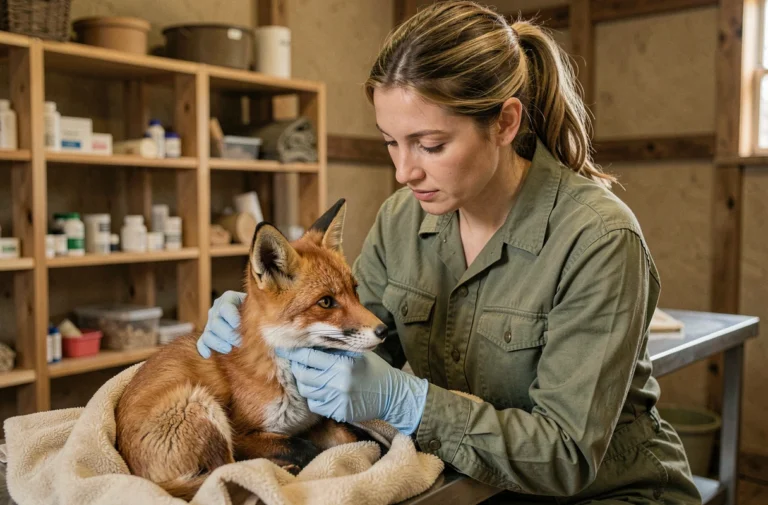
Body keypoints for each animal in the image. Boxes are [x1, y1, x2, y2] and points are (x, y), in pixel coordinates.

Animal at [115, 198, 388, 500]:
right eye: (326, 302)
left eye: (355, 290)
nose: (383, 330)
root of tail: (140, 478)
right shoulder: (243, 434)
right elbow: (306, 448)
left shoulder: (315, 421)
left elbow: (360, 438)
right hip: (198, 403)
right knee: (224, 472)